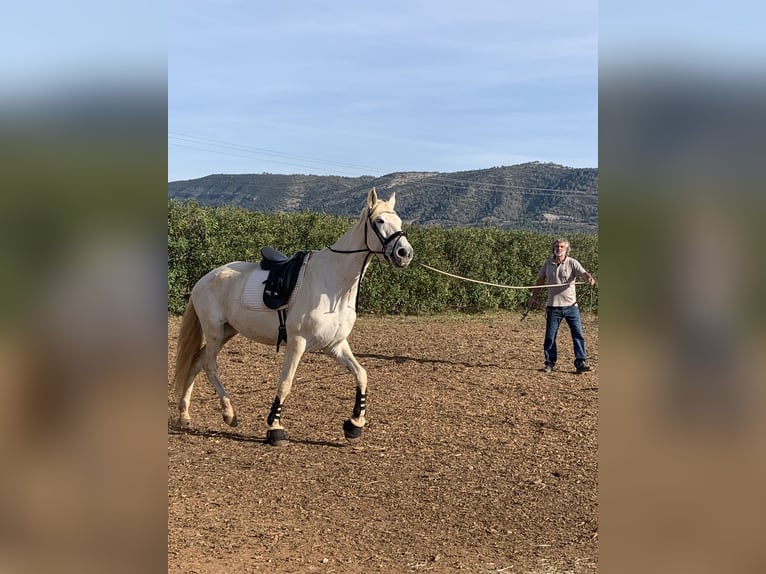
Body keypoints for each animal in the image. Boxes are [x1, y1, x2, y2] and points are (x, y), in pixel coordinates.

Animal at [172, 191, 416, 448]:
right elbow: (285, 383)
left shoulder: (335, 345)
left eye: (399, 221)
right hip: (215, 332)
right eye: (379, 220)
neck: (332, 285)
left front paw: (354, 425)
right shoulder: (297, 342)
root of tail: (203, 280)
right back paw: (229, 413)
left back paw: (185, 415)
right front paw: (275, 428)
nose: (405, 253)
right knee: (209, 365)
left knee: (197, 362)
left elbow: (361, 375)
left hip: (227, 331)